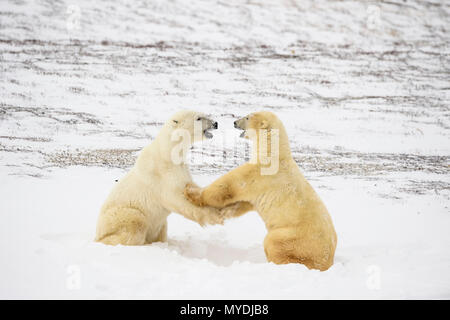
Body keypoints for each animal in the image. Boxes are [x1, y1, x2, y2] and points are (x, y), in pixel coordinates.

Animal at [95, 110, 250, 245]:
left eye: (204, 115)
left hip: (159, 225)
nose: (215, 123)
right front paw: (215, 216)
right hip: (122, 215)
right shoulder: (162, 174)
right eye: (199, 118)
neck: (168, 153)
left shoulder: (181, 168)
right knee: (134, 225)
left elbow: (191, 187)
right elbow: (176, 198)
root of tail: (98, 231)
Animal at [185, 111, 336, 272]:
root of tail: (327, 260)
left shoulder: (259, 172)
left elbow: (228, 187)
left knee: (274, 242)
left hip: (296, 237)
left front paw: (190, 191)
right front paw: (224, 213)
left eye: (247, 117)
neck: (273, 153)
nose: (234, 122)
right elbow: (245, 203)